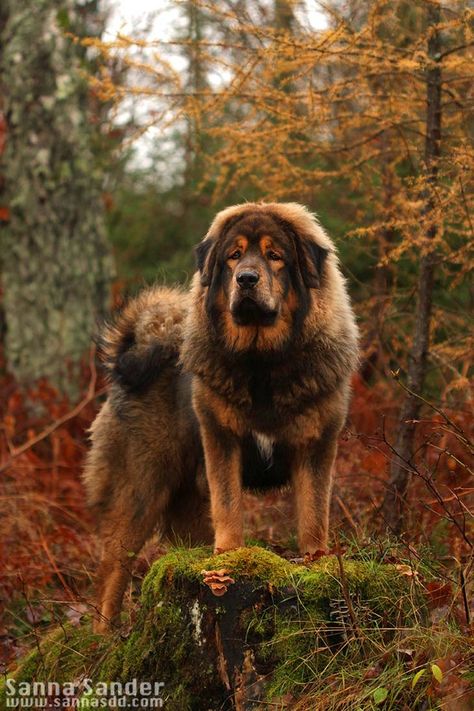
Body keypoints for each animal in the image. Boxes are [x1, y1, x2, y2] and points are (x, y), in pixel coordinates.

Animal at [84, 203, 360, 632]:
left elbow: (314, 513)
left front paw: (317, 561)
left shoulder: (316, 445)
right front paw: (229, 557)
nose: (246, 278)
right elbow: (229, 504)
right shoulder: (222, 440)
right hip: (139, 490)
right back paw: (104, 636)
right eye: (234, 256)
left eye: (275, 256)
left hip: (186, 499)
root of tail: (132, 358)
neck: (263, 361)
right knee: (112, 573)